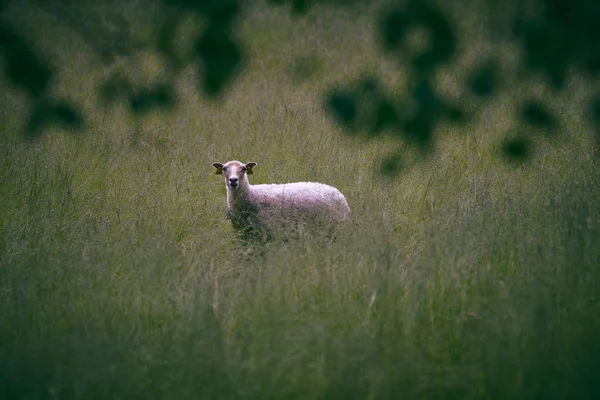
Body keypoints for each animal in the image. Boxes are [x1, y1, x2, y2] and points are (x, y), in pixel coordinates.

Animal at [212, 159, 350, 241]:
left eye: (244, 169)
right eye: (224, 169)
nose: (233, 180)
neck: (252, 196)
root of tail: (339, 195)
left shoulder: (267, 232)